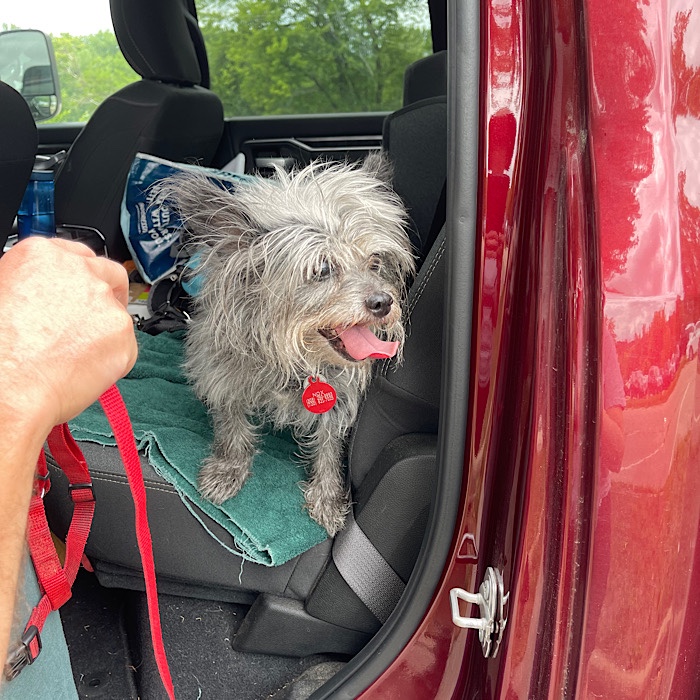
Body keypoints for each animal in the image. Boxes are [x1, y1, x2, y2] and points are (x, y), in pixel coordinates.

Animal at [159, 156, 415, 536]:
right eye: (322, 269)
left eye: (375, 262)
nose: (384, 302)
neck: (291, 359)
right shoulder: (222, 374)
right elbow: (232, 425)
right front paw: (228, 469)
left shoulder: (338, 397)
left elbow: (328, 446)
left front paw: (327, 497)